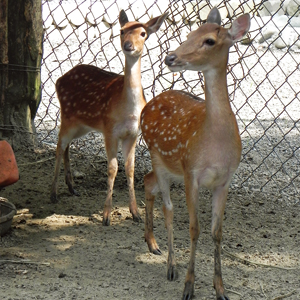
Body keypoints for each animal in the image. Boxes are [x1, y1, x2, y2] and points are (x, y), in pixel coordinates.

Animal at [51, 8, 169, 225]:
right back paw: (53, 193)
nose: (128, 45)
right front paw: (106, 216)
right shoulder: (109, 130)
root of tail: (59, 79)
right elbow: (112, 168)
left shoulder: (133, 134)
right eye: (122, 31)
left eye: (143, 33)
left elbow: (130, 168)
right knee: (59, 145)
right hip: (67, 116)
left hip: (82, 125)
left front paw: (135, 213)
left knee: (66, 145)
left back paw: (72, 188)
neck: (128, 110)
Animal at [141, 7, 251, 300]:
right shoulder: (192, 173)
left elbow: (217, 232)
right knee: (166, 206)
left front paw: (220, 289)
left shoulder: (225, 180)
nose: (170, 57)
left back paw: (151, 243)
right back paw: (170, 265)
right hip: (158, 156)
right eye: (189, 34)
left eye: (209, 40)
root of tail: (147, 104)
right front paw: (189, 287)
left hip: (170, 167)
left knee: (147, 182)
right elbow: (194, 229)